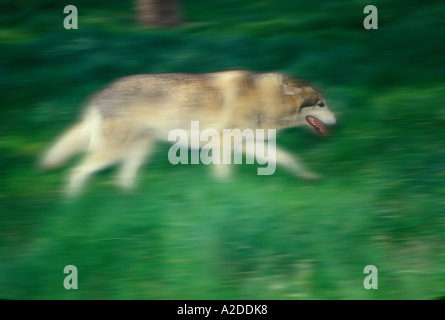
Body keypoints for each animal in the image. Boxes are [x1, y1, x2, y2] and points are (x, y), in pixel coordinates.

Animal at [40, 71, 332, 194]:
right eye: (321, 104)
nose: (338, 119)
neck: (267, 98)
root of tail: (97, 95)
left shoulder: (245, 145)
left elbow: (288, 158)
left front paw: (309, 177)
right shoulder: (222, 147)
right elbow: (224, 176)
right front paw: (225, 195)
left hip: (138, 152)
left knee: (122, 179)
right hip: (112, 152)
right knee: (77, 172)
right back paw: (71, 207)